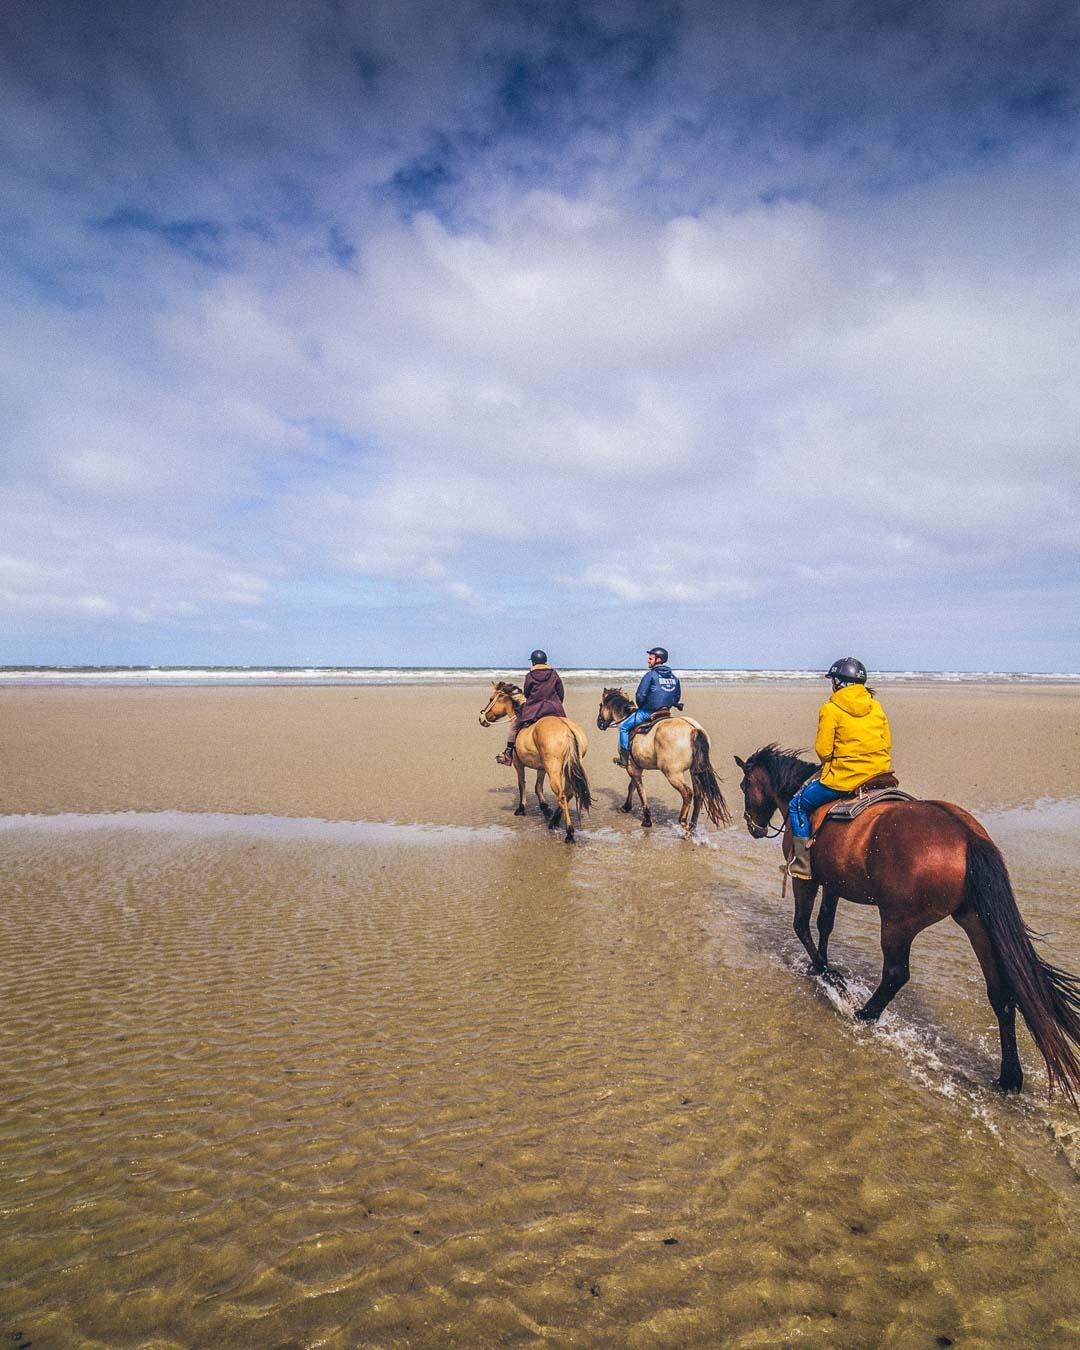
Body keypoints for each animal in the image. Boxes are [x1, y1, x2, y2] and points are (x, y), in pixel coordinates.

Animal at [477, 685, 591, 842]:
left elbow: (522, 785)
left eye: (491, 699)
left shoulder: (518, 765)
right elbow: (538, 787)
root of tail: (567, 729)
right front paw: (545, 808)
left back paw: (569, 833)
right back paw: (554, 820)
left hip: (553, 769)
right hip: (567, 768)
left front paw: (521, 808)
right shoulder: (541, 768)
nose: (481, 718)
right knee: (569, 792)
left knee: (562, 796)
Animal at [594, 691, 729, 837]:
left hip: (672, 774)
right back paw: (692, 826)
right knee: (698, 795)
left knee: (687, 793)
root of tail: (692, 729)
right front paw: (626, 807)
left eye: (600, 705)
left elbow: (640, 791)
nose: (599, 723)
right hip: (695, 771)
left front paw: (646, 820)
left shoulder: (632, 768)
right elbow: (632, 786)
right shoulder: (637, 767)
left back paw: (683, 824)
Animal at [739, 745, 1080, 1101]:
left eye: (744, 785)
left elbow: (802, 925)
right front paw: (821, 966)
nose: (753, 826)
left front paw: (828, 975)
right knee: (1000, 991)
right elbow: (825, 924)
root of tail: (967, 836)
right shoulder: (834, 884)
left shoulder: (807, 879)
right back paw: (1009, 1077)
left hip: (897, 921)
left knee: (895, 974)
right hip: (977, 922)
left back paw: (864, 1014)